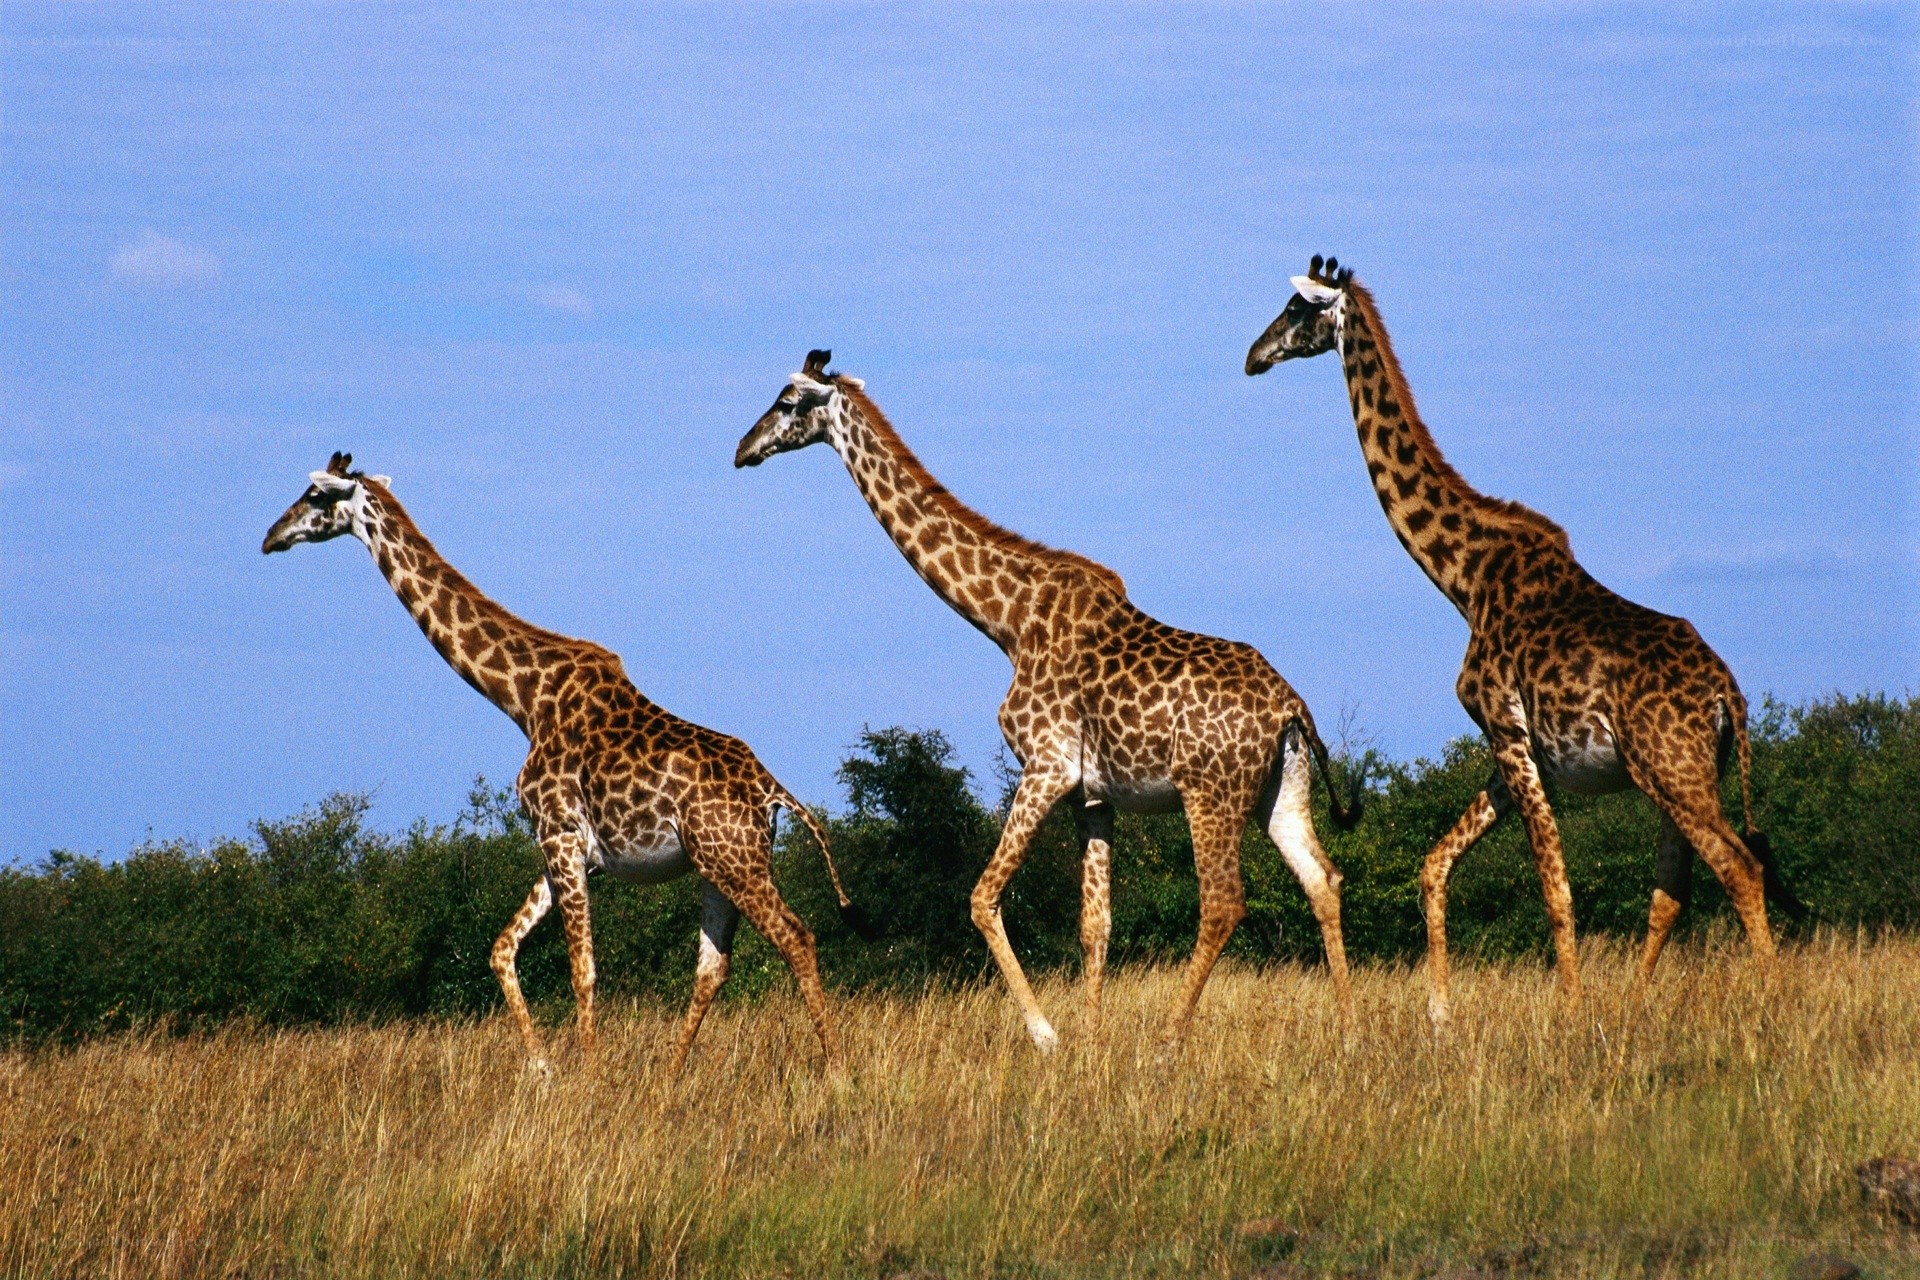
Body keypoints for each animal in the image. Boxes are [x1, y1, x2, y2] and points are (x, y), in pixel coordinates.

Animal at [263, 451, 870, 1071]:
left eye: (314, 495)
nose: (270, 537)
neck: (524, 701)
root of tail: (773, 791)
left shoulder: (559, 836)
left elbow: (582, 969)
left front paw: (588, 1071)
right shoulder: (568, 847)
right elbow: (501, 948)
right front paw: (541, 1066)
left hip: (735, 860)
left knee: (796, 937)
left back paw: (835, 1068)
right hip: (713, 865)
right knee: (713, 964)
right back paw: (672, 1073)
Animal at [734, 350, 1361, 1052]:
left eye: (788, 401)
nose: (742, 449)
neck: (1007, 620)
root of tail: (1291, 706)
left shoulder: (1046, 766)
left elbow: (982, 898)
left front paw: (1047, 1034)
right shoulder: (1092, 796)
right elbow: (1096, 924)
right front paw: (1088, 1040)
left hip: (1211, 791)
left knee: (1224, 901)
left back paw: (1170, 1039)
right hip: (1280, 789)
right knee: (1323, 881)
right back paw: (1349, 1034)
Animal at [1246, 257, 1806, 1024]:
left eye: (1298, 310)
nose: (1252, 355)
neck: (1465, 578)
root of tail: (1731, 696)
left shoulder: (1506, 730)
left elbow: (1553, 883)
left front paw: (1569, 1010)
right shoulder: (1510, 747)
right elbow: (1435, 863)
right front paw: (1440, 1014)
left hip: (1673, 769)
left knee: (1738, 867)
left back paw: (1772, 1002)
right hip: (1681, 773)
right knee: (1673, 888)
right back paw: (1636, 1006)